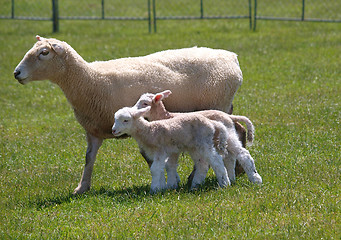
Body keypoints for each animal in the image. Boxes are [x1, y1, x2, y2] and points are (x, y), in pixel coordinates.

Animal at [13, 35, 242, 194]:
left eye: (44, 52)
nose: (16, 73)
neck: (90, 80)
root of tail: (231, 57)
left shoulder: (136, 125)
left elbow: (149, 157)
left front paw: (165, 181)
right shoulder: (93, 130)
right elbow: (88, 159)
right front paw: (82, 187)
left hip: (217, 105)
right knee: (236, 131)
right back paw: (235, 170)